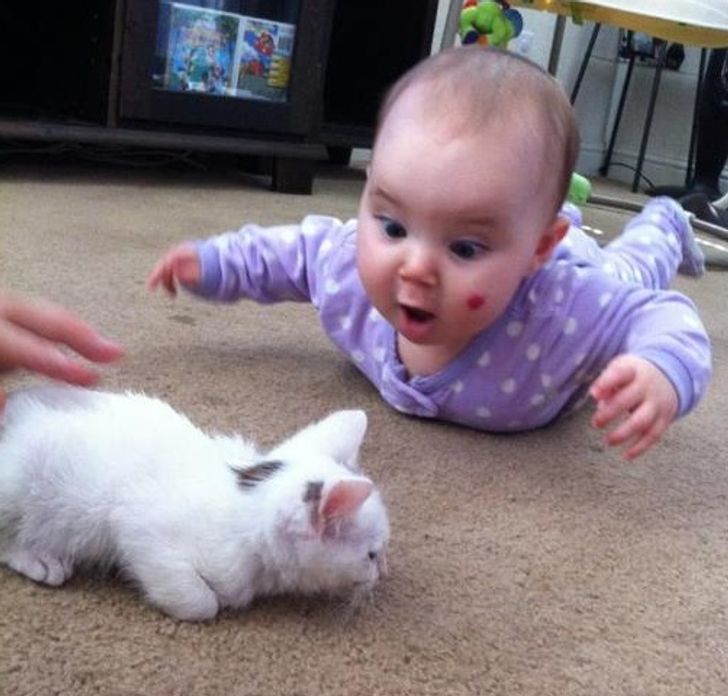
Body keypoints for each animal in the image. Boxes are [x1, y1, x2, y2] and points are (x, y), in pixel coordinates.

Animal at [0, 386, 390, 620]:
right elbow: (201, 602)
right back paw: (39, 558)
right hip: (17, 483)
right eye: (371, 555)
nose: (382, 574)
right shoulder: (138, 527)